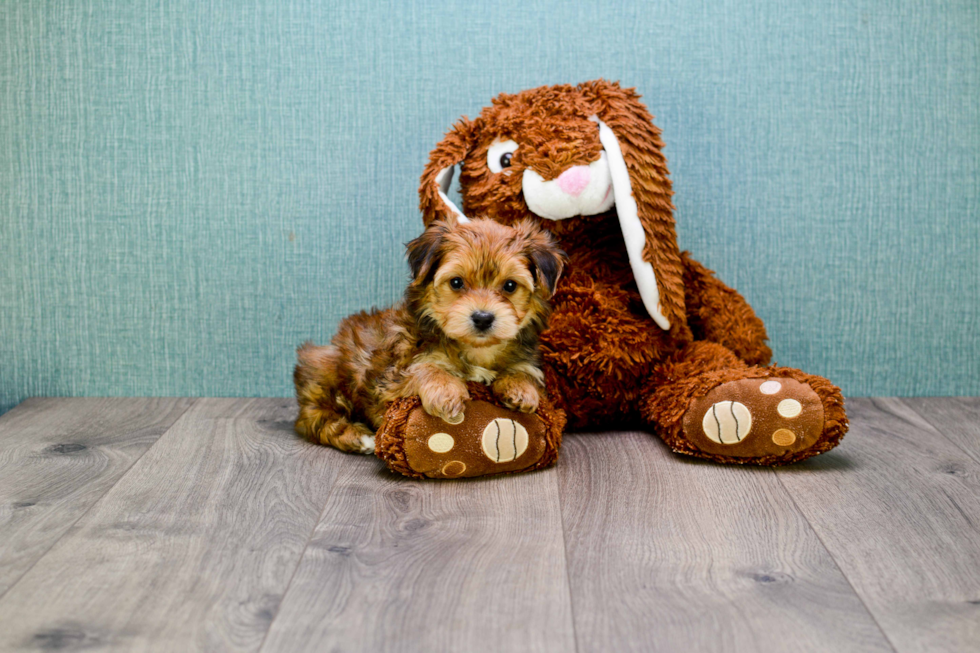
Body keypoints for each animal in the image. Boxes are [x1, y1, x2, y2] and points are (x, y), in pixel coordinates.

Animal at [294, 216, 564, 450]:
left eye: (510, 285)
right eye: (456, 282)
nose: (483, 318)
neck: (476, 350)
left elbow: (524, 370)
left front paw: (521, 388)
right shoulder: (392, 382)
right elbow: (426, 368)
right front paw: (446, 391)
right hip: (326, 374)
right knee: (316, 419)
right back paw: (358, 437)